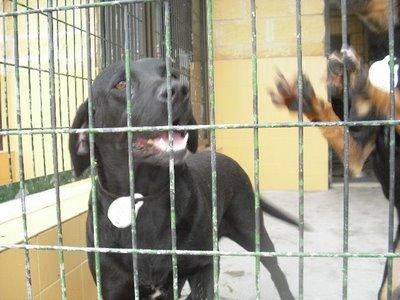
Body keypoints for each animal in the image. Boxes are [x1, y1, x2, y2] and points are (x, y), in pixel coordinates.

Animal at [70, 58, 298, 300]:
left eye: (173, 75)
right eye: (121, 84)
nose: (179, 90)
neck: (145, 197)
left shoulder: (203, 266)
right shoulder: (114, 286)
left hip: (252, 233)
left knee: (276, 270)